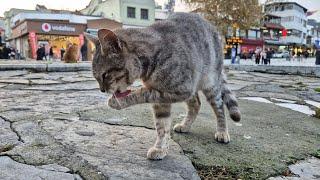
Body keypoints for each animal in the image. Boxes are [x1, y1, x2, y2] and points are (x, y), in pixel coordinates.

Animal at [85, 11, 240, 160]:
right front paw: (160, 148)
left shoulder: (179, 90)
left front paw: (119, 102)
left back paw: (222, 131)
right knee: (196, 103)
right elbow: (162, 126)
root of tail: (210, 25)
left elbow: (143, 93)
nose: (102, 90)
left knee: (219, 107)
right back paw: (185, 125)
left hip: (210, 83)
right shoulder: (164, 100)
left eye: (105, 75)